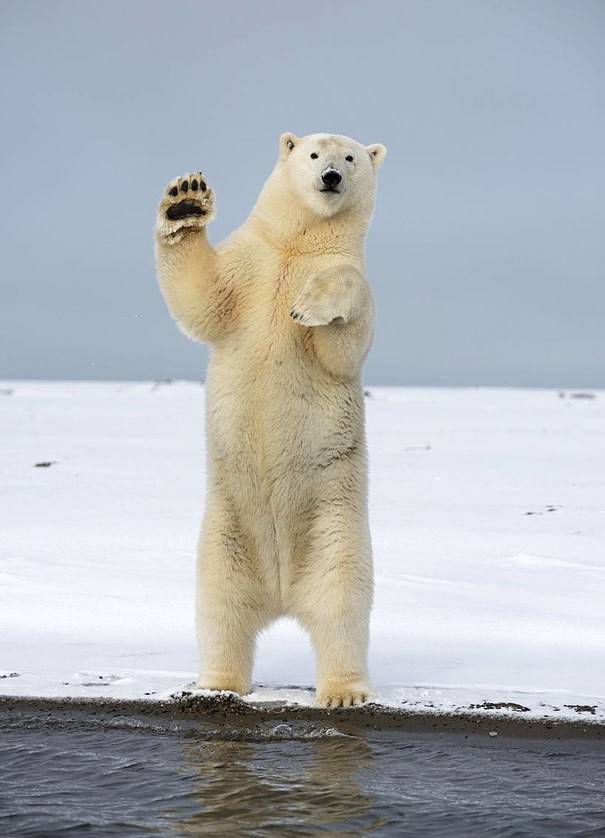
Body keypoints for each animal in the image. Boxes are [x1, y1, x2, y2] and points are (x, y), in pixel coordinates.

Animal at [153, 133, 384, 708]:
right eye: (314, 153)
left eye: (350, 157)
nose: (331, 177)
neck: (297, 247)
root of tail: (282, 594)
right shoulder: (251, 266)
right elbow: (202, 298)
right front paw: (185, 200)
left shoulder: (349, 272)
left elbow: (343, 343)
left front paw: (307, 306)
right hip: (226, 532)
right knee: (220, 607)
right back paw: (218, 682)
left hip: (335, 526)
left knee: (342, 605)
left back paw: (342, 690)